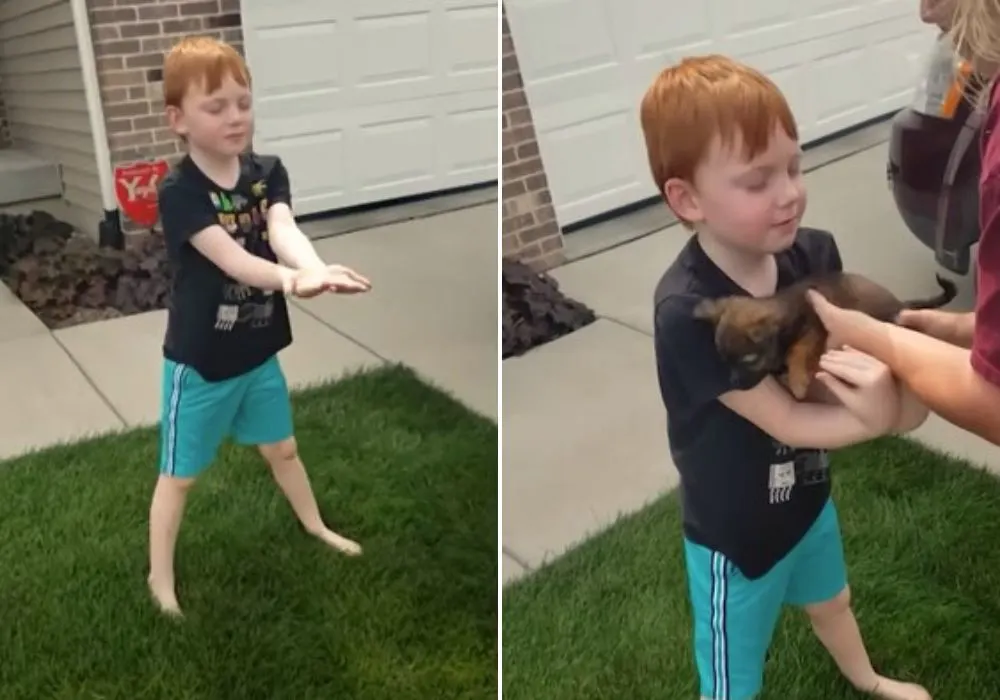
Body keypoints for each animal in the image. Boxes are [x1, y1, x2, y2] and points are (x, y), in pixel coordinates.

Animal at [692, 274, 956, 400]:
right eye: (725, 361)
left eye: (748, 360)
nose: (733, 383)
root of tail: (899, 305)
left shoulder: (815, 329)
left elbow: (798, 350)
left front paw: (798, 380)